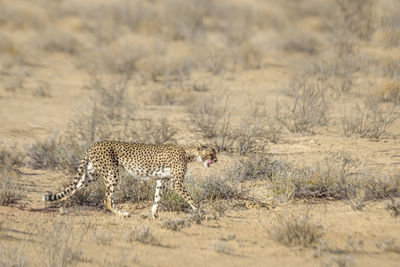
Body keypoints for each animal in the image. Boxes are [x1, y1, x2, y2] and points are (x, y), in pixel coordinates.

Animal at [42, 141, 217, 219]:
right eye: (211, 154)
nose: (216, 160)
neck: (189, 153)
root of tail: (95, 143)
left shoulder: (162, 180)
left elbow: (157, 198)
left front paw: (155, 215)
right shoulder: (176, 183)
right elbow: (191, 199)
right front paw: (200, 211)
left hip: (91, 175)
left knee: (74, 188)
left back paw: (60, 206)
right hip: (112, 173)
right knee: (107, 199)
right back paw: (123, 214)